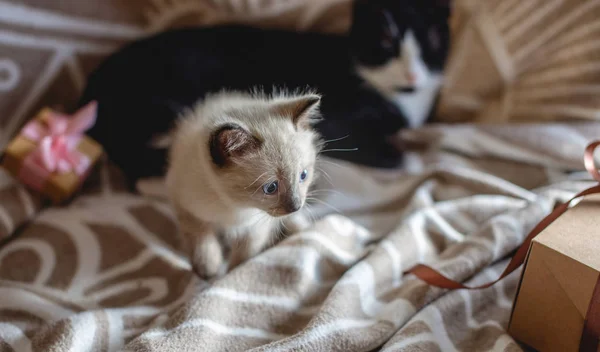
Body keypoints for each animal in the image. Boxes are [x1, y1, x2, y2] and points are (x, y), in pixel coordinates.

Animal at [79, 0, 450, 186]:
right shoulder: (333, 118)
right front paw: (411, 160)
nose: (412, 72)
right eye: (386, 41)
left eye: (432, 39)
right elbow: (356, 141)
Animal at [166, 91, 322, 280]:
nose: (296, 206)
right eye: (271, 188)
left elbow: (244, 257)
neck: (236, 207)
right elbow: (202, 240)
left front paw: (231, 276)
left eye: (303, 176)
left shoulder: (256, 226)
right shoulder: (185, 207)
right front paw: (208, 270)